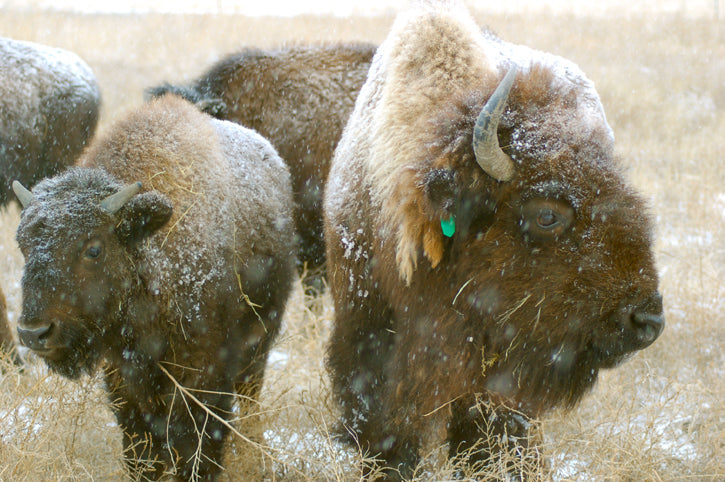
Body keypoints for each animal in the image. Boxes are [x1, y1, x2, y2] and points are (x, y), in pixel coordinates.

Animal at [12, 95, 294, 482]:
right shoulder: (125, 383)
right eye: (23, 245)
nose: (34, 332)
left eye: (93, 248)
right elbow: (142, 450)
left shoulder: (204, 377)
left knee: (250, 396)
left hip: (260, 341)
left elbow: (198, 447)